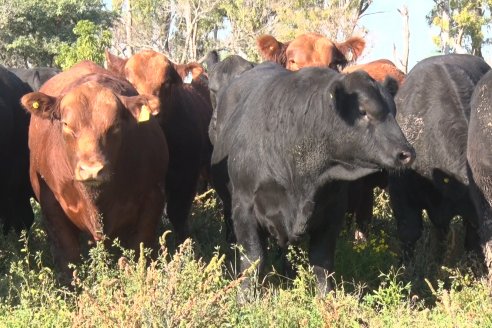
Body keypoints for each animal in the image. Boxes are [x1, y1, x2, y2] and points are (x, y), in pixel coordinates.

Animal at [22, 66, 168, 280]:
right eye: (66, 124)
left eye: (115, 125)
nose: (92, 170)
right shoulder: (51, 204)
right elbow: (69, 258)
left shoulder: (153, 197)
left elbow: (138, 251)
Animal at [211, 62, 416, 292]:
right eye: (363, 111)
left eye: (394, 111)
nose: (407, 153)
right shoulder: (244, 208)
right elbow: (253, 261)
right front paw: (245, 297)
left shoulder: (333, 212)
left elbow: (322, 264)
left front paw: (326, 298)